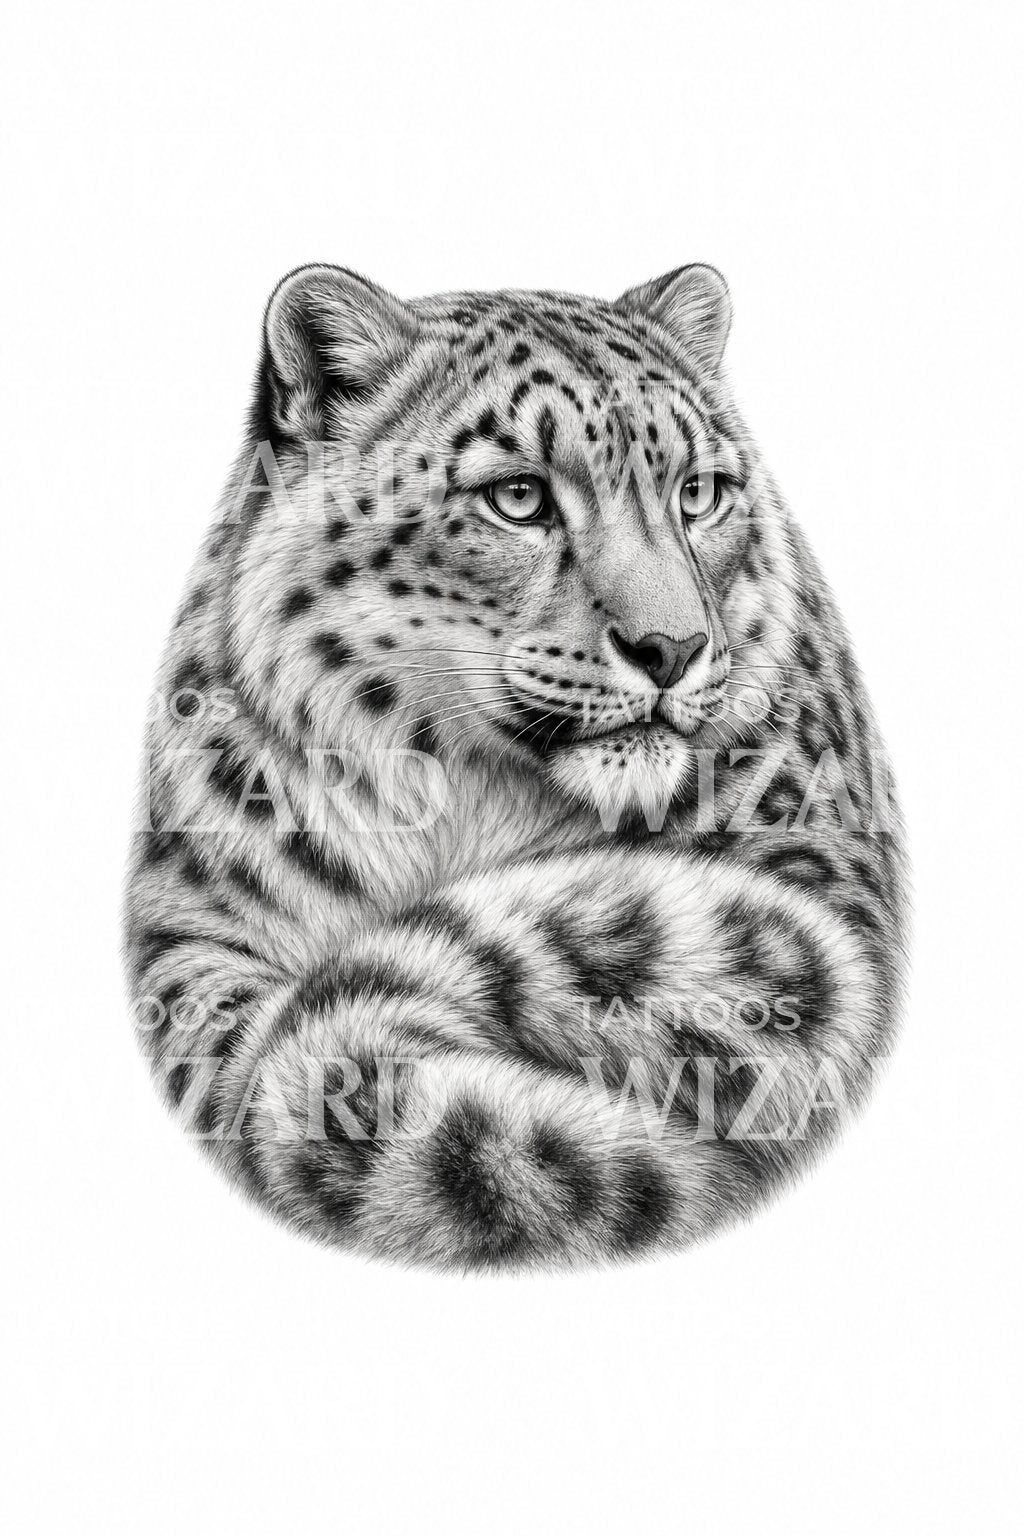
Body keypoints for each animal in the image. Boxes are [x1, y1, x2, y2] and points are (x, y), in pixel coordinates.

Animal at [123, 262, 909, 1271]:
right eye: (520, 497)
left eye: (698, 493)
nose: (672, 647)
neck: (468, 808)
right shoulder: (186, 932)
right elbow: (226, 1064)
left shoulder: (822, 870)